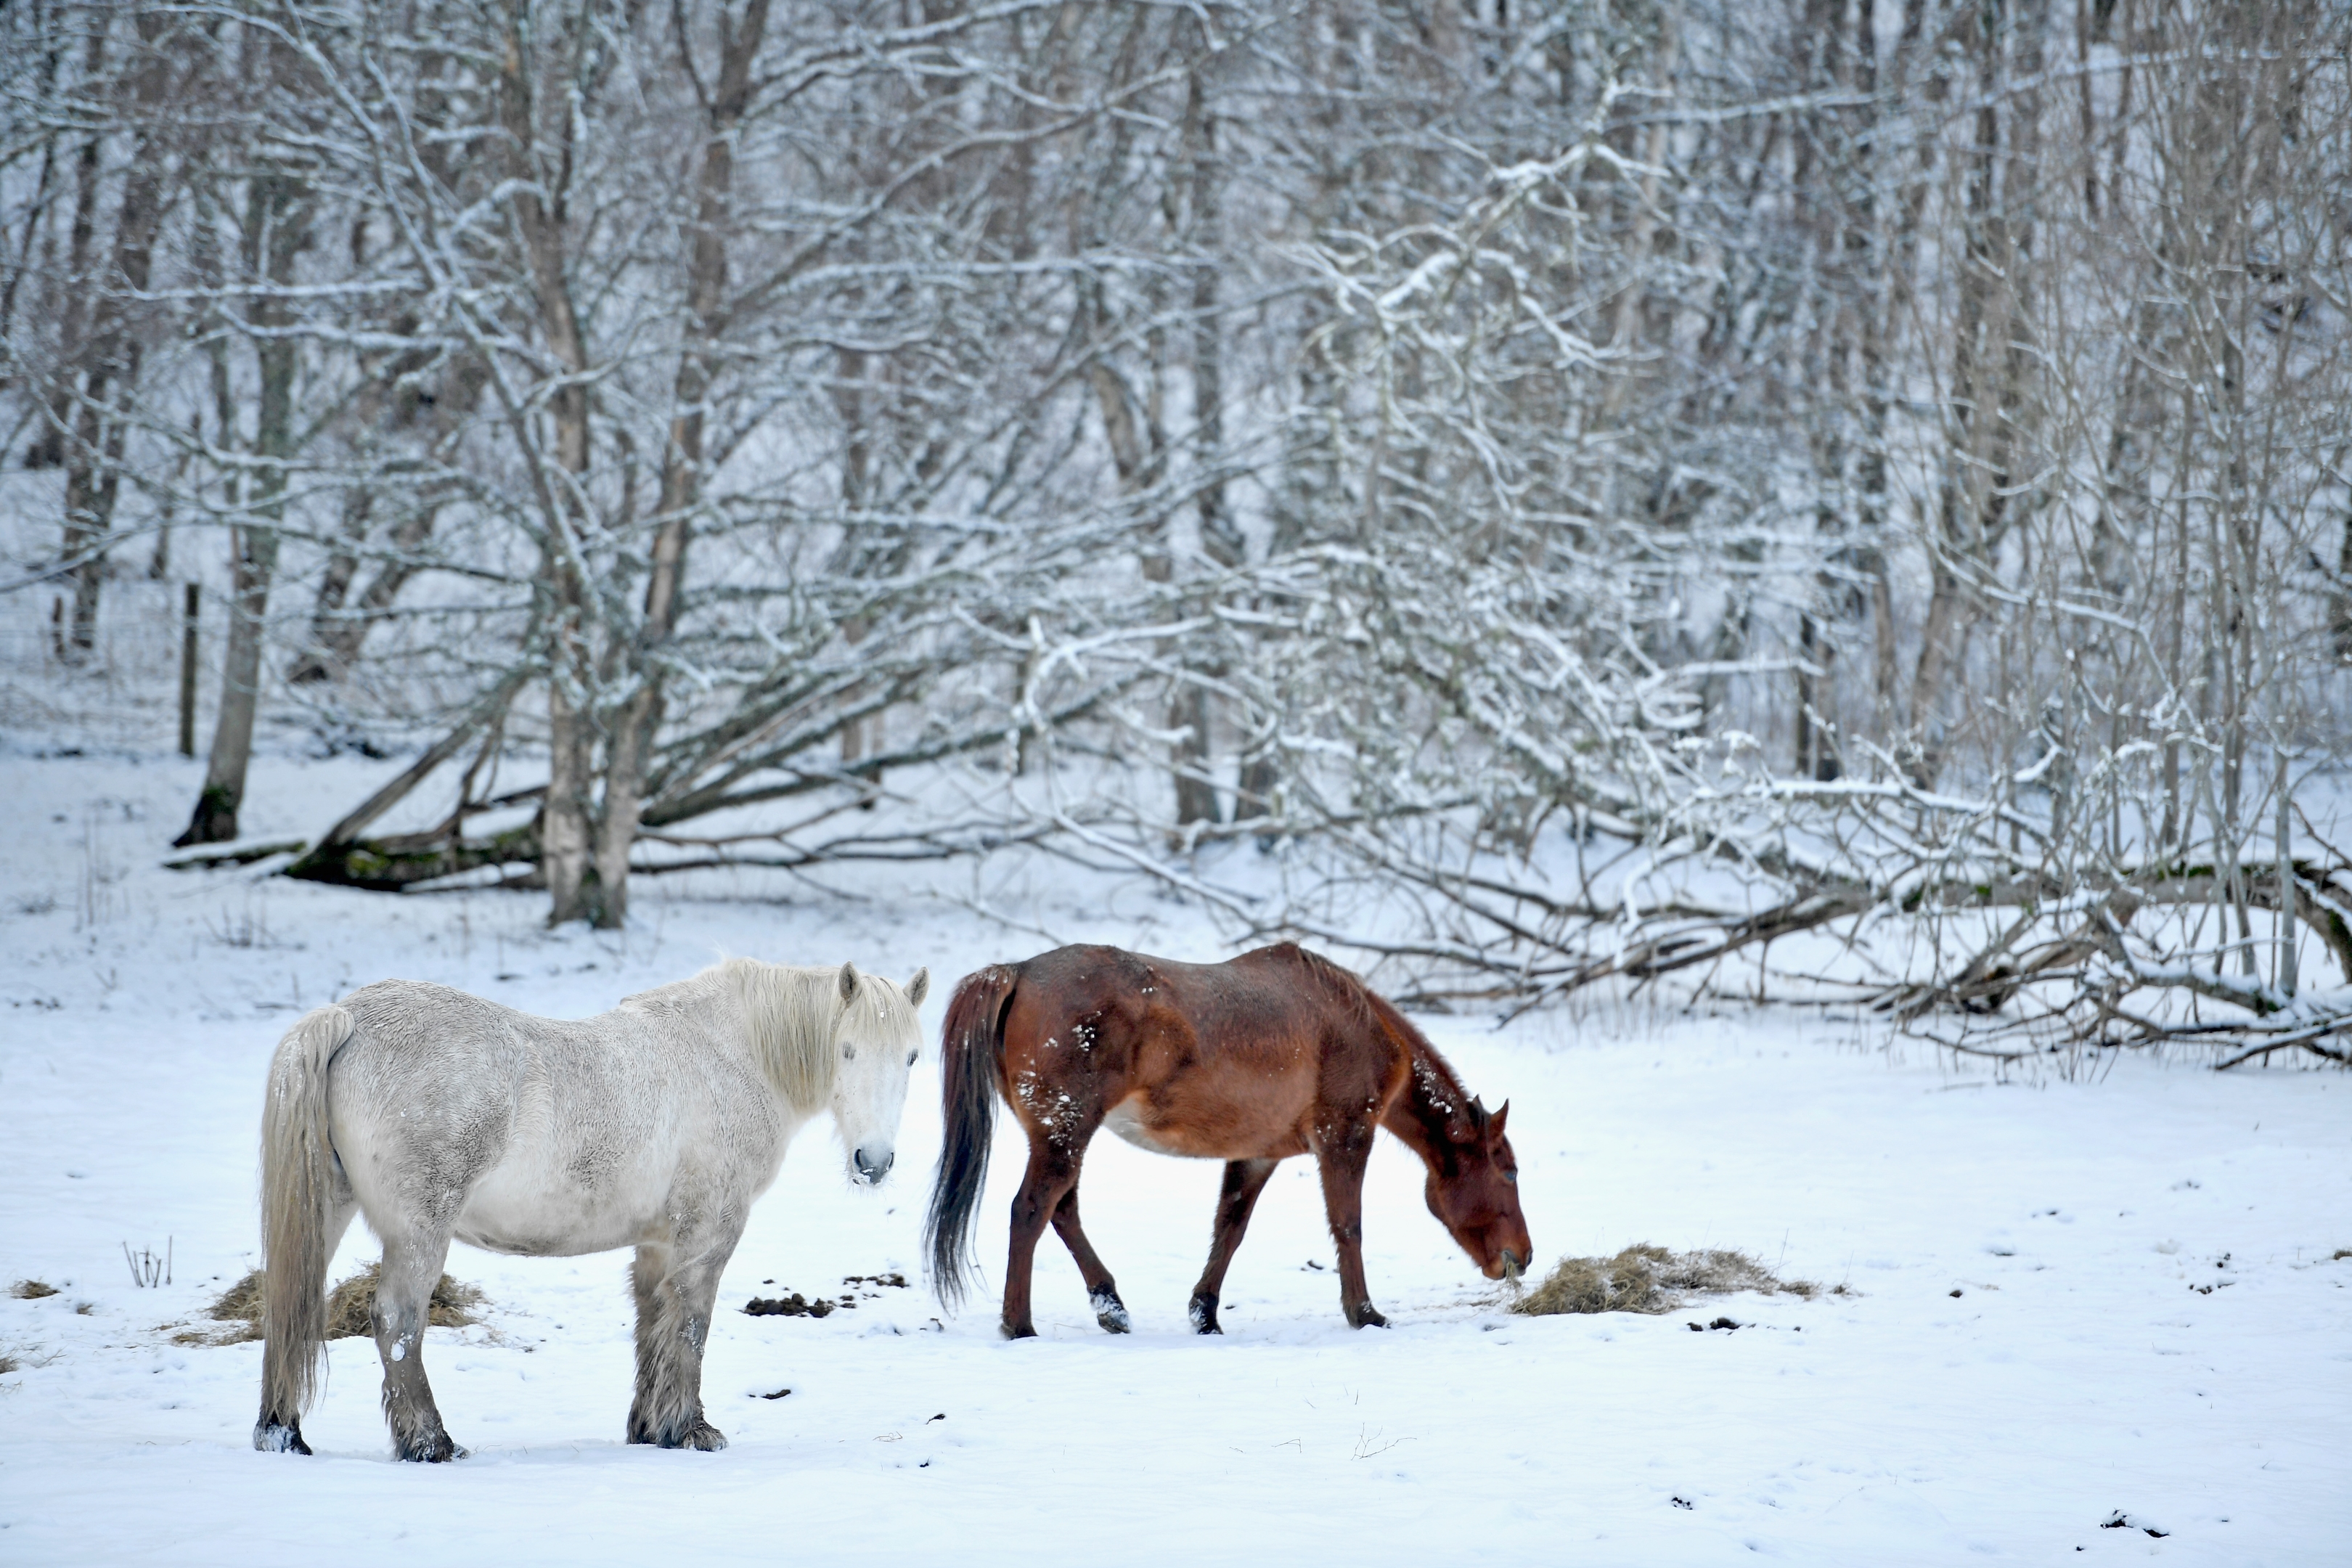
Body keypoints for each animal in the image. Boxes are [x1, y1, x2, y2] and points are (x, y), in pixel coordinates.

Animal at [250, 963, 926, 1466]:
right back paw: (431, 1443)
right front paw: (693, 1430)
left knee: (290, 1306)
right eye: (847, 1051)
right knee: (398, 1320)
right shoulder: (708, 1233)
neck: (732, 1054)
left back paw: (283, 1434)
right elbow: (691, 1326)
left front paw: (652, 1429)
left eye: (913, 1057)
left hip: (329, 1210)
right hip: (420, 1229)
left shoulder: (658, 1243)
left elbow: (653, 1324)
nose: (873, 1161)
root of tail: (347, 1017)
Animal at [917, 944, 1524, 1335]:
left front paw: (1205, 1312)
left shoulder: (1256, 1155)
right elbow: (1347, 1227)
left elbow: (1229, 1228)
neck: (1354, 1024)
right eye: (1509, 1170)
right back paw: (1019, 1324)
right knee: (1031, 1210)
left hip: (1058, 1136)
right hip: (1065, 1133)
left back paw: (1111, 1307)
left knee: (1062, 1212)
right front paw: (1365, 1314)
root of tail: (1016, 972)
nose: (1523, 1256)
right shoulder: (1345, 1138)